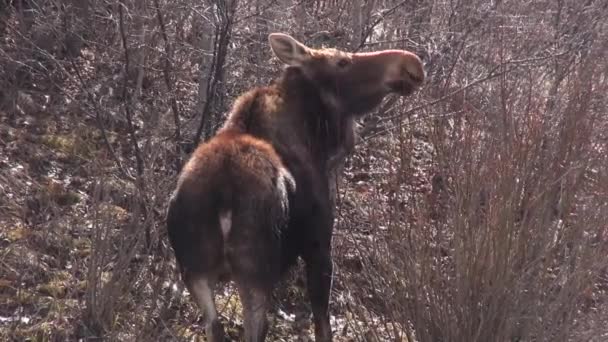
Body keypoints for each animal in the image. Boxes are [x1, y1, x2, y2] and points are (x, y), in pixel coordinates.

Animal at [165, 32, 422, 342]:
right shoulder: (318, 245)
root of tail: (223, 193)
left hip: (194, 270)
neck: (318, 139)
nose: (412, 66)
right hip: (254, 270)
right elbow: (322, 325)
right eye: (342, 61)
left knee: (214, 328)